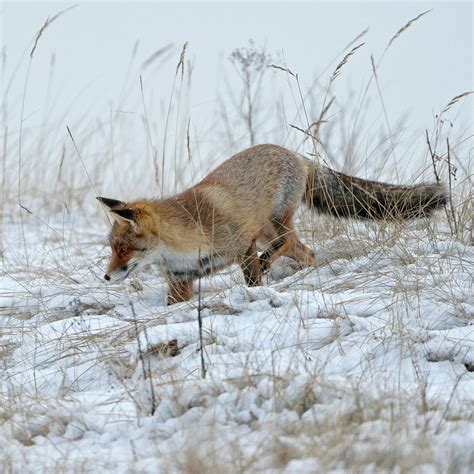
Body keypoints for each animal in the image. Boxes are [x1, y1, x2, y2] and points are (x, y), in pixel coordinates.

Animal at [98, 143, 446, 304]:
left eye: (125, 249)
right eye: (113, 248)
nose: (106, 277)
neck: (181, 241)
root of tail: (295, 153)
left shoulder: (242, 246)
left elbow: (252, 280)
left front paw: (256, 294)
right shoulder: (181, 279)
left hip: (272, 226)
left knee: (288, 242)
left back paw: (276, 266)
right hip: (268, 232)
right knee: (307, 252)